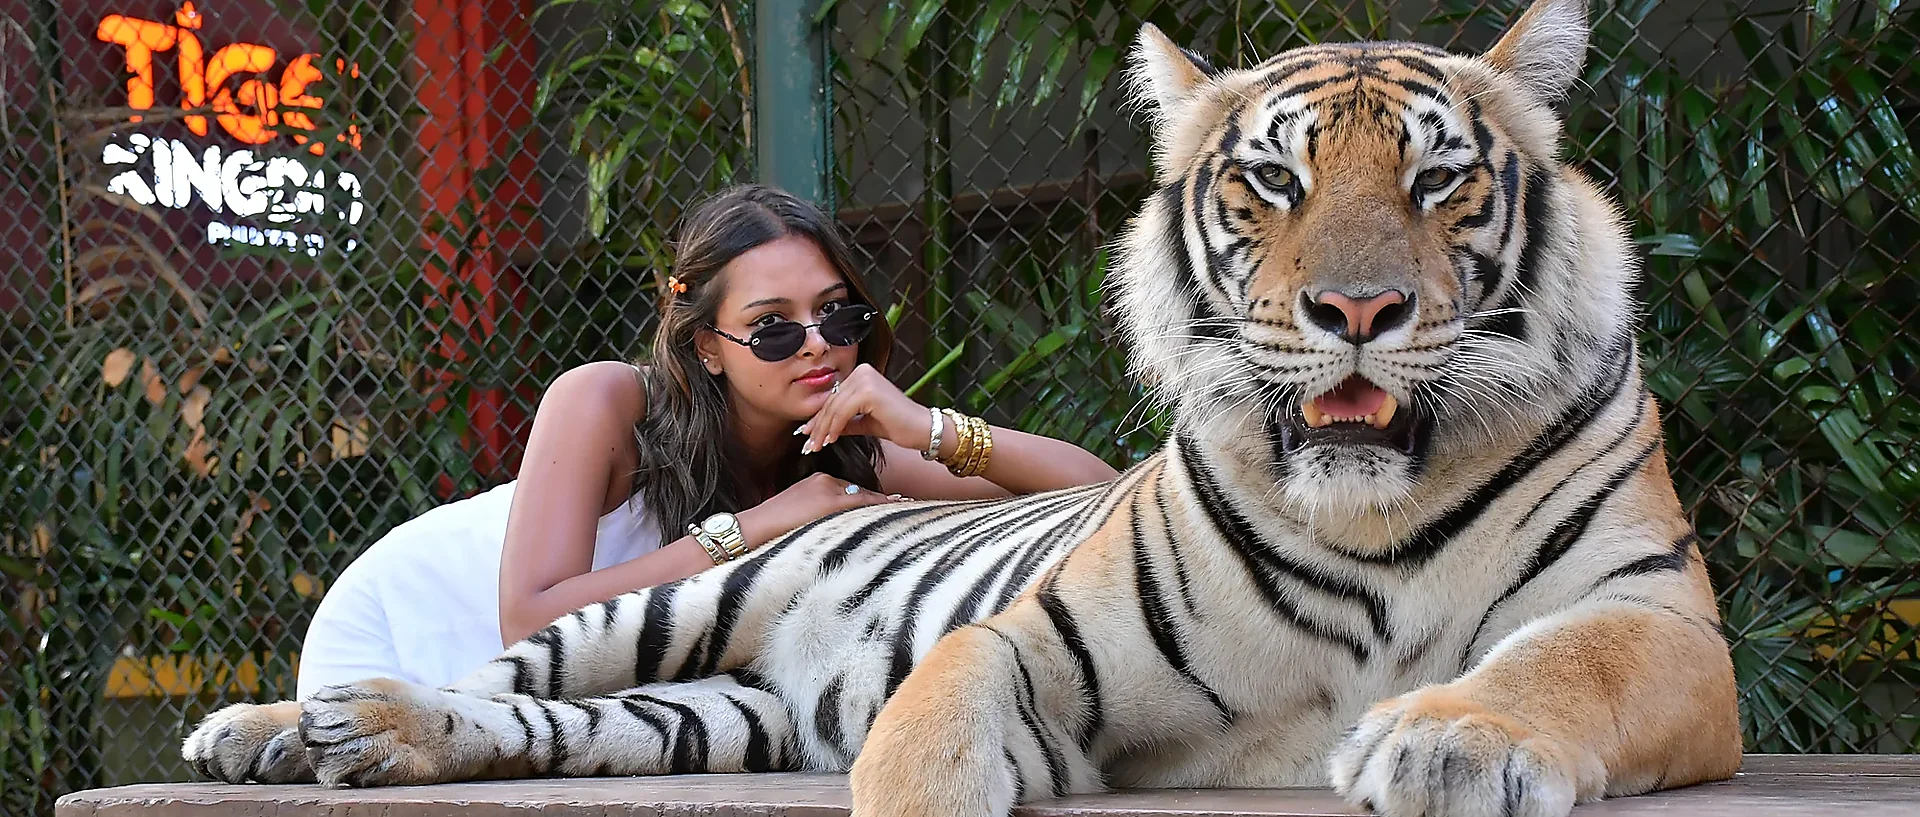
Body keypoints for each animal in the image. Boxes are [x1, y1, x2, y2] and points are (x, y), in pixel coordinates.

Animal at [180, 1, 1743, 814]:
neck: (1371, 509)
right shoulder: (1034, 641)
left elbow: (1564, 666)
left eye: (1436, 181)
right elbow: (932, 730)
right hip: (662, 603)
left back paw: (354, 739)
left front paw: (1445, 740)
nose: (1358, 312)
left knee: (551, 726)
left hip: (705, 713)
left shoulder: (1662, 621)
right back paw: (284, 724)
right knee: (500, 670)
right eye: (1272, 183)